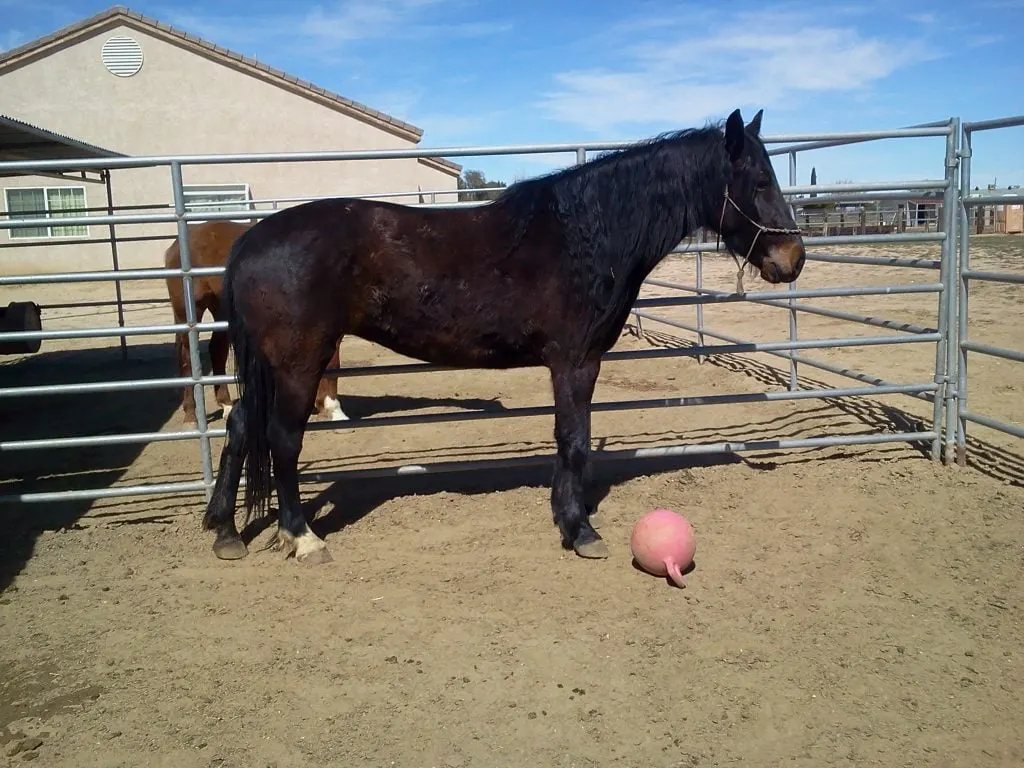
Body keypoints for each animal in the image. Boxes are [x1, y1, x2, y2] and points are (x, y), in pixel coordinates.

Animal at [163, 219, 346, 428]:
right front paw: (334, 411)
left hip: (221, 310)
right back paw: (191, 417)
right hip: (187, 311)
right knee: (186, 359)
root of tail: (175, 246)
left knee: (216, 350)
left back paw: (226, 405)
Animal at [201, 108, 806, 565]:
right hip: (300, 364)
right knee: (282, 438)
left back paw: (225, 530)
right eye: (758, 182)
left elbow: (567, 440)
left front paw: (569, 518)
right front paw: (580, 531)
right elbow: (573, 439)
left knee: (240, 424)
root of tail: (250, 241)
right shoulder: (576, 361)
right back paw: (302, 537)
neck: (586, 235)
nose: (793, 258)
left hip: (271, 366)